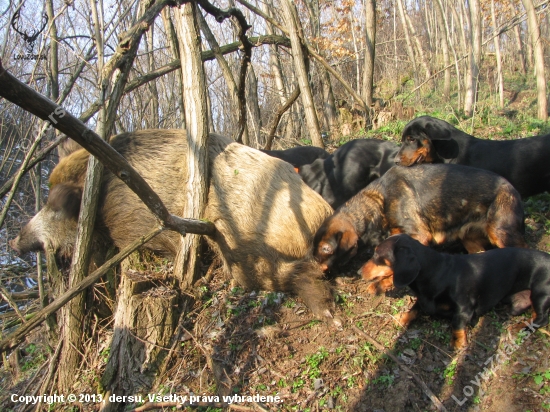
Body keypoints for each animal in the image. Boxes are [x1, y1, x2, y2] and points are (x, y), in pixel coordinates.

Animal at [362, 235, 550, 348]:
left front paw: (458, 342)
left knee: (541, 318)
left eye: (378, 256)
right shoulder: (423, 300)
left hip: (540, 293)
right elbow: (414, 309)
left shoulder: (465, 308)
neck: (438, 273)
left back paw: (521, 328)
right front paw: (402, 318)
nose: (359, 272)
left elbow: (457, 322)